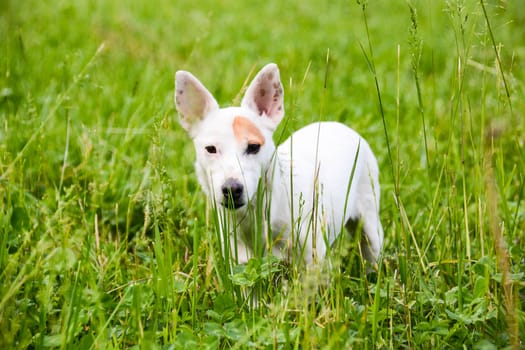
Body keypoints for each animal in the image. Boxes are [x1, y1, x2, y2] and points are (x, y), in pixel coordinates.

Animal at [174, 63, 382, 266]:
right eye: (210, 149)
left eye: (253, 147)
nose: (232, 189)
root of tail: (340, 126)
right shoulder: (238, 259)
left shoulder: (312, 257)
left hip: (370, 222)